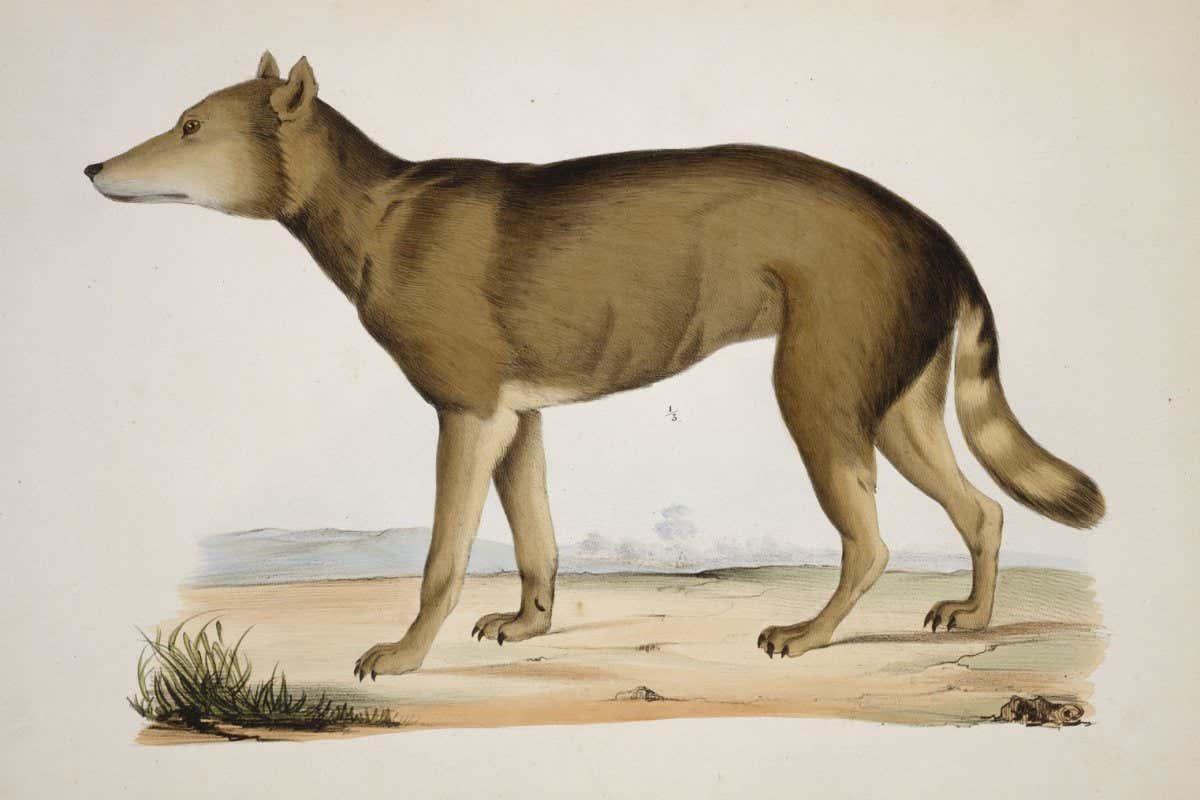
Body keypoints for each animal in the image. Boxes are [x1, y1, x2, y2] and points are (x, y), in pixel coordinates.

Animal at [85, 53, 1104, 679]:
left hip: (818, 393)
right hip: (893, 403)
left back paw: (809, 635)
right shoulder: (516, 415)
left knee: (875, 540)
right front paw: (527, 624)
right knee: (982, 509)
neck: (376, 210)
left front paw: (406, 655)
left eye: (190, 126)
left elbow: (442, 559)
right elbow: (535, 536)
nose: (93, 167)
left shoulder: (466, 411)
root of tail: (937, 233)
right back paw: (973, 616)